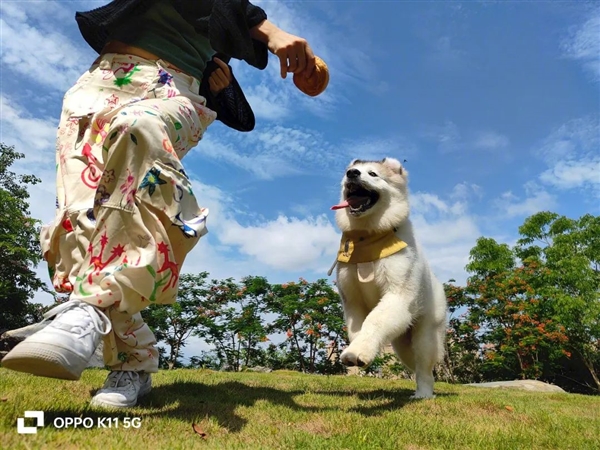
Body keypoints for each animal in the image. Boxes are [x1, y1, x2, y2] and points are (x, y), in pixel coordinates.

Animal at [330, 158, 448, 398]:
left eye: (373, 174)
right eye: (349, 172)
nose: (352, 173)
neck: (368, 236)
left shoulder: (398, 295)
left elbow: (374, 320)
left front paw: (358, 351)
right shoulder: (352, 300)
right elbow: (357, 329)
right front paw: (359, 349)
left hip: (425, 334)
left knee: (425, 367)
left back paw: (424, 393)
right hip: (402, 343)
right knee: (414, 364)